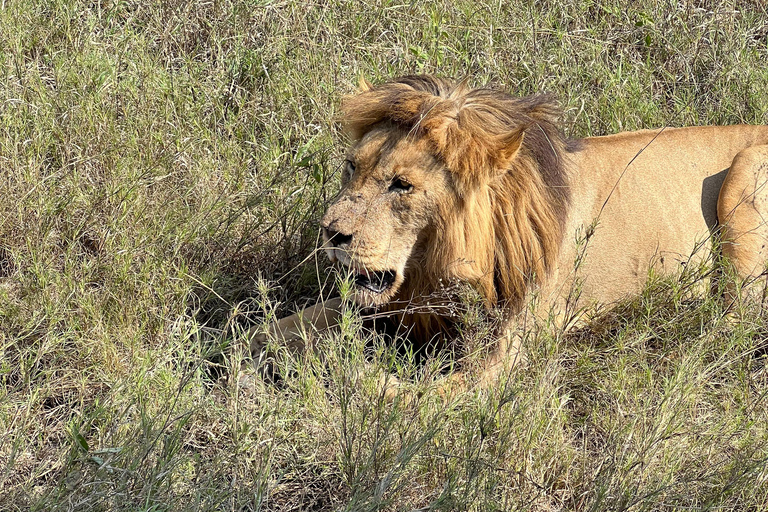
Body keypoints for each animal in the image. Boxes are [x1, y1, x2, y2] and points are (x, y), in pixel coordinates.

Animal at [254, 76, 768, 394]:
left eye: (402, 185)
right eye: (351, 167)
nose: (331, 233)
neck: (434, 262)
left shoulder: (504, 351)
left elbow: (402, 396)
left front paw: (342, 375)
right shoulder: (395, 303)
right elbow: (273, 329)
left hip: (744, 177)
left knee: (732, 325)